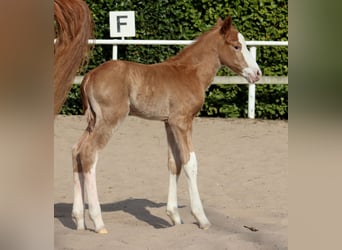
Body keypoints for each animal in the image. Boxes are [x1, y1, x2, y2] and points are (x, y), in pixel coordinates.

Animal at [72, 15, 262, 233]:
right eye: (236, 46)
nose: (257, 73)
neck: (190, 72)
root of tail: (89, 76)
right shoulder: (183, 122)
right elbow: (190, 163)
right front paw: (201, 218)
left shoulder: (169, 123)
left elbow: (174, 163)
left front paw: (174, 217)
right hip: (110, 120)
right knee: (89, 153)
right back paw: (98, 221)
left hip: (94, 121)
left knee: (76, 151)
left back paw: (79, 220)